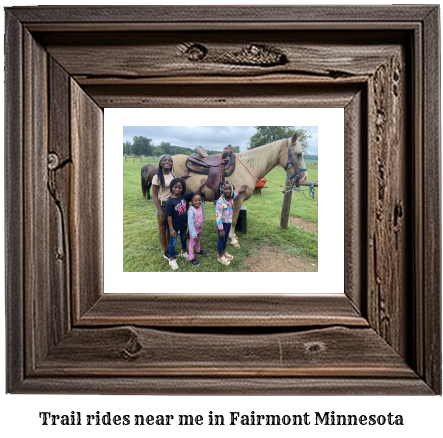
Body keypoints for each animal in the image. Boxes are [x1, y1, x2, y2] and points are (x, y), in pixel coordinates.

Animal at [172, 132, 306, 248]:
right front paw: (233, 239)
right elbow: (234, 219)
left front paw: (233, 235)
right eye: (298, 154)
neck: (249, 167)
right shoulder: (238, 200)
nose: (304, 178)